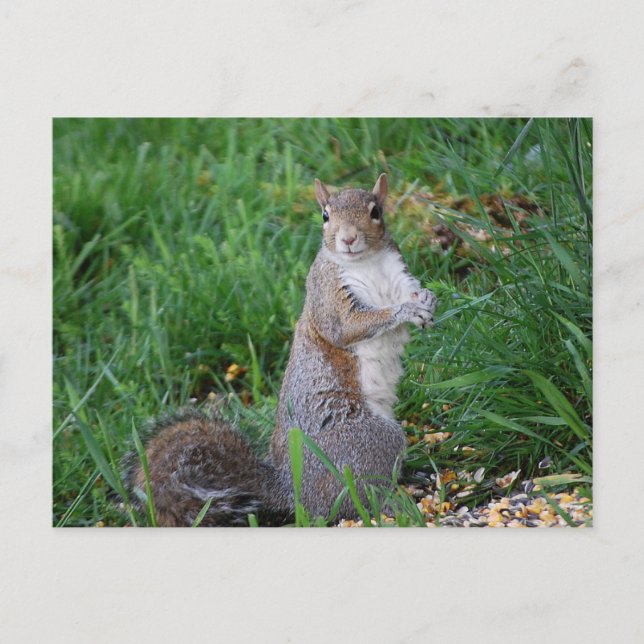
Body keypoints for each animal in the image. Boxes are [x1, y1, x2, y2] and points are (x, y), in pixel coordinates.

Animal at [125, 174, 437, 526]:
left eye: (376, 212)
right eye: (325, 215)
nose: (348, 239)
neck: (367, 263)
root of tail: (293, 489)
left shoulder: (398, 275)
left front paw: (427, 301)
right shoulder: (328, 297)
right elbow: (346, 328)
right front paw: (405, 310)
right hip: (367, 439)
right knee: (363, 494)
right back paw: (396, 502)